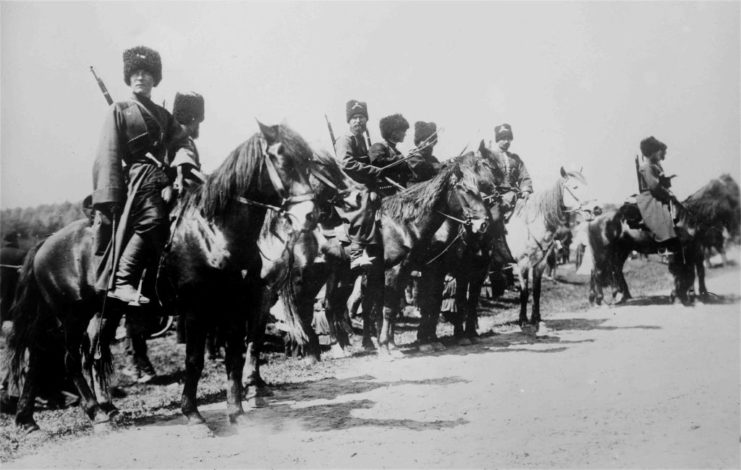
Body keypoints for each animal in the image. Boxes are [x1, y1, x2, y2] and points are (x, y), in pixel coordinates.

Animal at [588, 174, 736, 306]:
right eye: (731, 189)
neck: (688, 217)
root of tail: (593, 220)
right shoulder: (682, 251)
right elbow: (683, 273)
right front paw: (680, 296)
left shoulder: (693, 250)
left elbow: (695, 272)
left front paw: (694, 296)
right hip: (602, 253)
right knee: (597, 272)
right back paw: (600, 299)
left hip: (620, 252)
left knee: (615, 270)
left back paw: (620, 296)